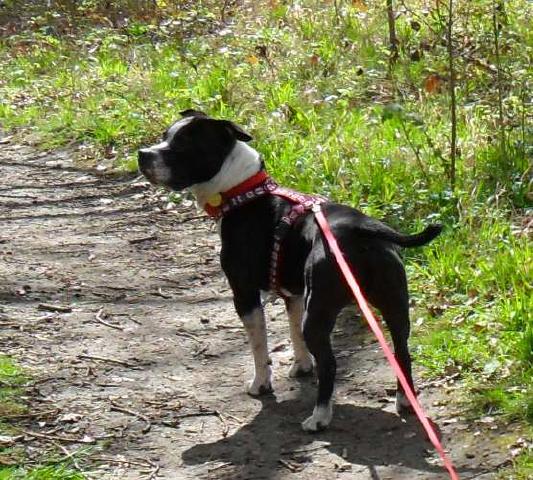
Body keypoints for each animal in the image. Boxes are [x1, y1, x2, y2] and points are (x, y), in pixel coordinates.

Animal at [137, 110, 440, 434]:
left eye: (182, 145)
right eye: (165, 136)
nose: (143, 154)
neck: (242, 192)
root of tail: (363, 228)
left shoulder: (244, 294)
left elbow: (259, 345)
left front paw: (261, 383)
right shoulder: (294, 294)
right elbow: (293, 332)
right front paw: (301, 365)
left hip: (318, 312)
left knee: (330, 364)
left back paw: (319, 417)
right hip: (394, 306)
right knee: (402, 352)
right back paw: (404, 401)